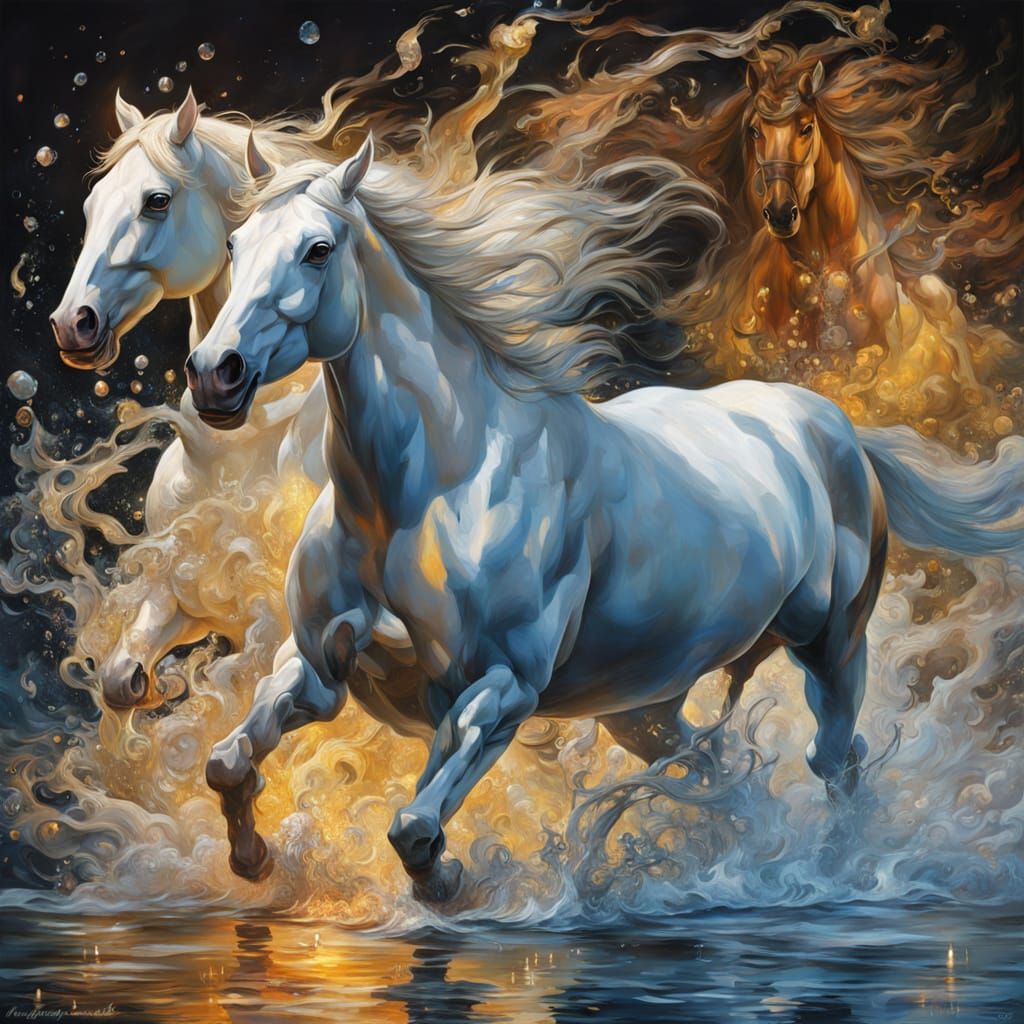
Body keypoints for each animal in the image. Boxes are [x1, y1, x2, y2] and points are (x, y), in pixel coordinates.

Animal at [185, 140, 1024, 902]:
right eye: (233, 244)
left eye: (318, 249)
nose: (214, 374)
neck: (428, 495)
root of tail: (833, 427)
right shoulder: (316, 667)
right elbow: (226, 763)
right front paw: (253, 860)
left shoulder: (505, 689)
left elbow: (415, 827)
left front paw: (447, 880)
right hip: (644, 709)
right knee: (718, 773)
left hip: (833, 644)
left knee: (835, 759)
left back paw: (836, 874)